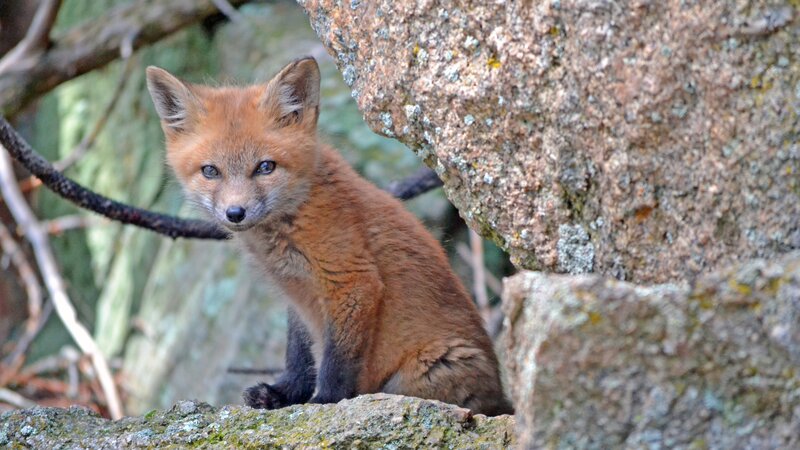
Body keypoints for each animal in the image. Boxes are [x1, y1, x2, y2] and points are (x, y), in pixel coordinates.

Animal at [145, 57, 513, 416]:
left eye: (265, 167)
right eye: (211, 171)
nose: (235, 213)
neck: (293, 217)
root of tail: (502, 396)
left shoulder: (351, 280)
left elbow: (337, 361)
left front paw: (325, 402)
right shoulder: (297, 295)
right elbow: (300, 355)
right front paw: (284, 394)